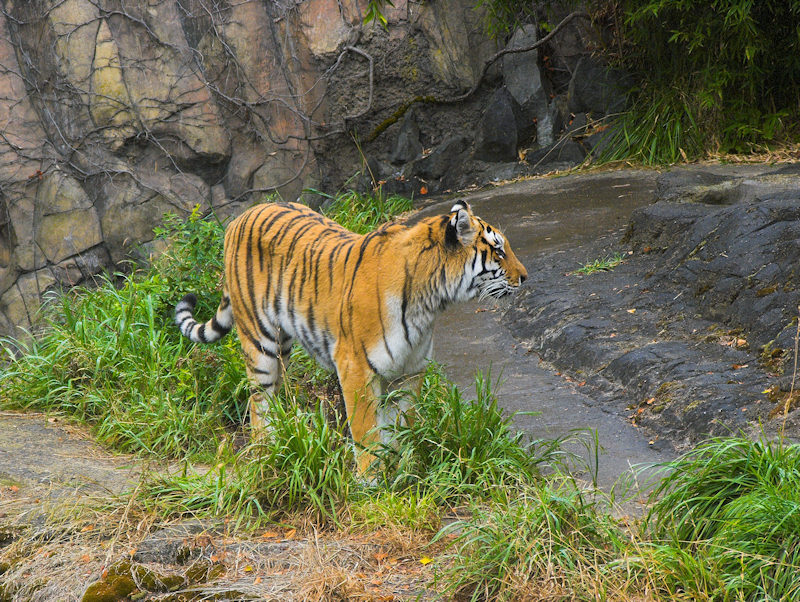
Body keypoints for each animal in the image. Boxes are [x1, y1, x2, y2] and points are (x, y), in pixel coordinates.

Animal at [175, 199, 524, 472]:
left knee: (276, 392)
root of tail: (241, 216)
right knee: (258, 402)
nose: (525, 277)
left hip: (283, 345)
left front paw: (404, 470)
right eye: (498, 250)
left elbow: (401, 425)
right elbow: (366, 430)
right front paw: (372, 483)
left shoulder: (408, 372)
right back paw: (267, 453)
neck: (431, 302)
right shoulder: (356, 367)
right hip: (259, 341)